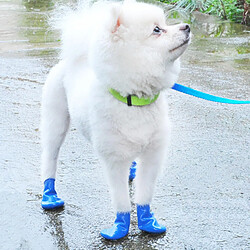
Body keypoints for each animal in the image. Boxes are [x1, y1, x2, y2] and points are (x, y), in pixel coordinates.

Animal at [40, 0, 189, 239]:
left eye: (164, 24)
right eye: (157, 30)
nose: (187, 26)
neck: (134, 99)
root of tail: (75, 60)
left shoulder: (152, 155)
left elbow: (144, 194)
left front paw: (148, 222)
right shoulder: (114, 160)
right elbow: (121, 200)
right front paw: (119, 228)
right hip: (56, 123)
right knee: (50, 157)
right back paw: (49, 195)